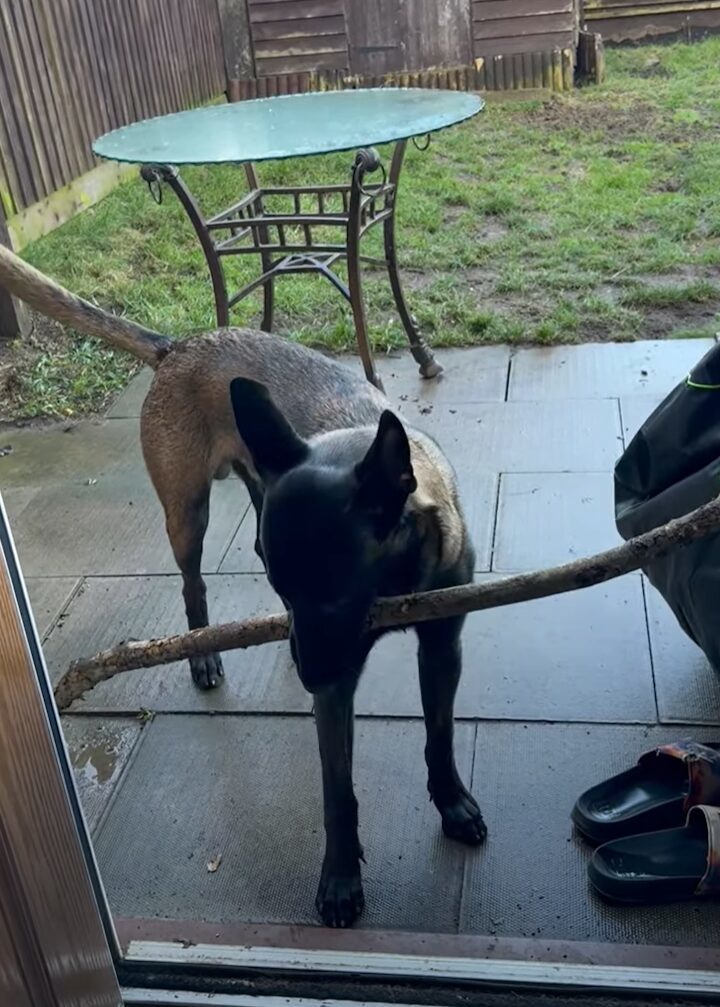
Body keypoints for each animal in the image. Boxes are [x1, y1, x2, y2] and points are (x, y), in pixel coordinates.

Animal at [1, 245, 485, 926]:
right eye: (303, 594)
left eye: (336, 595)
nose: (308, 676)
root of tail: (182, 344)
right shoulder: (337, 684)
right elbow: (337, 790)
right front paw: (341, 880)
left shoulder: (440, 646)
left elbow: (438, 735)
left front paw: (452, 804)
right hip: (187, 512)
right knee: (192, 585)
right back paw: (204, 654)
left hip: (256, 487)